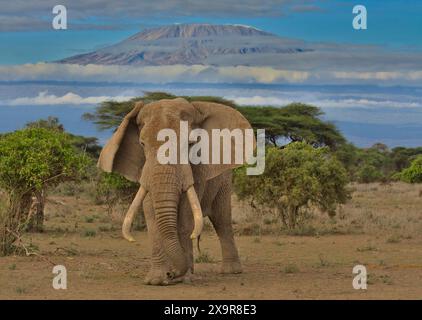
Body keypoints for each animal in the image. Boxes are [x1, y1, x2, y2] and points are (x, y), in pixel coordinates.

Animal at [97, 97, 256, 284]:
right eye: (142, 144)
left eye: (190, 144)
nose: (171, 274)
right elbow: (150, 211)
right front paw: (156, 281)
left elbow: (186, 215)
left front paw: (181, 278)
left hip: (224, 181)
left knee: (221, 220)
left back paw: (231, 271)